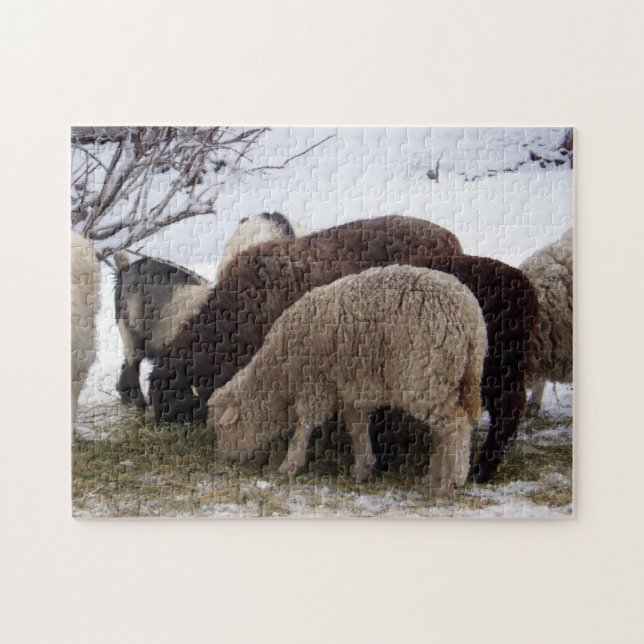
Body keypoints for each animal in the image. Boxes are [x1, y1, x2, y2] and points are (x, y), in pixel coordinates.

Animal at [209, 265, 487, 492]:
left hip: (425, 376)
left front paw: (290, 463)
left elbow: (305, 424)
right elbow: (356, 428)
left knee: (456, 424)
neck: (280, 374)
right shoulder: (352, 390)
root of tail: (469, 318)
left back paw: (454, 479)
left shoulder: (316, 384)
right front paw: (363, 467)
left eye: (223, 428)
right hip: (444, 378)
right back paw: (434, 478)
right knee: (443, 429)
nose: (223, 458)